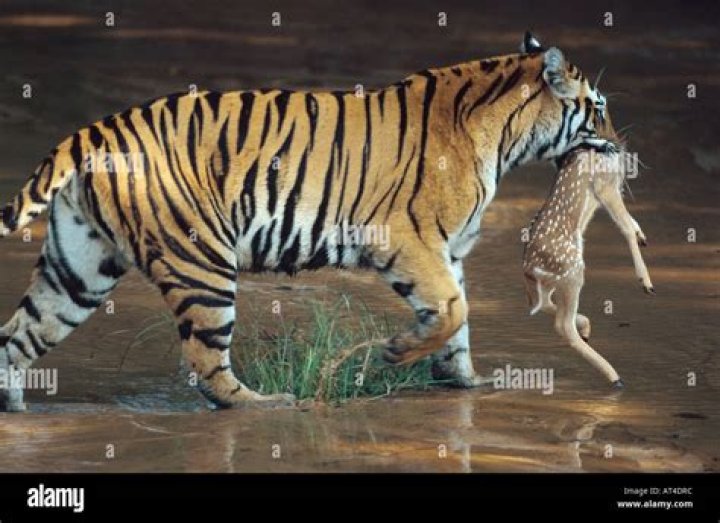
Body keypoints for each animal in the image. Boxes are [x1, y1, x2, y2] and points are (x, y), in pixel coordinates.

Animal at [0, 32, 615, 411]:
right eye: (600, 106)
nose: (618, 143)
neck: (507, 134)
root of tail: (91, 132)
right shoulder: (410, 241)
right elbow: (452, 310)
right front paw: (399, 352)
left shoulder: (450, 250)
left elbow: (459, 323)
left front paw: (464, 380)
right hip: (202, 263)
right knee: (207, 361)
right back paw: (266, 404)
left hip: (79, 268)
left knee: (17, 337)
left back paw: (14, 407)